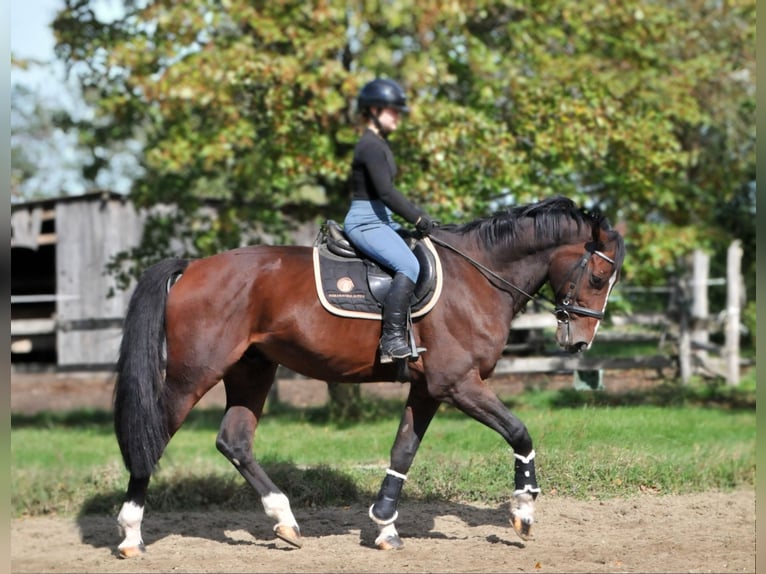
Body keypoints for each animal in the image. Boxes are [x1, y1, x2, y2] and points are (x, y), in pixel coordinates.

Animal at [115, 197, 632, 560]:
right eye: (598, 276)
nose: (579, 341)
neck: (476, 278)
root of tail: (193, 267)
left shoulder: (428, 388)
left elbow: (403, 450)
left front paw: (385, 526)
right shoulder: (459, 383)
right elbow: (519, 432)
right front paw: (523, 510)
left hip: (252, 370)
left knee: (234, 440)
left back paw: (285, 520)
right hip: (193, 374)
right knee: (152, 438)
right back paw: (131, 534)